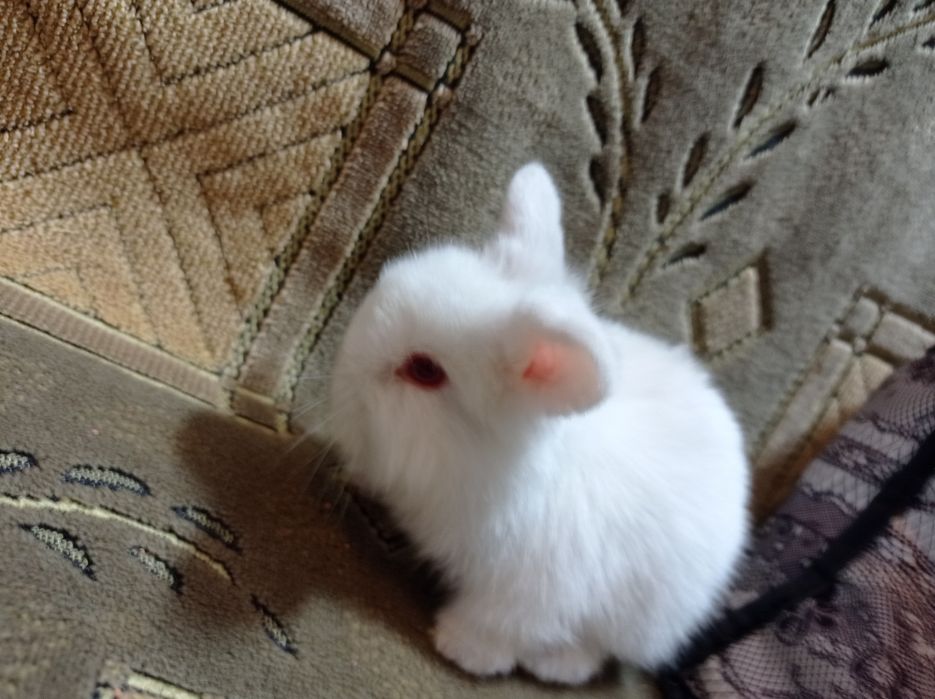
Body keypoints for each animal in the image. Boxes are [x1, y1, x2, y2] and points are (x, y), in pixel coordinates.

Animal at [328, 162, 749, 685]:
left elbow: (500, 624)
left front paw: (461, 647)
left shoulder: (531, 593)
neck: (484, 464)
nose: (342, 379)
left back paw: (558, 665)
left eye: (425, 370)